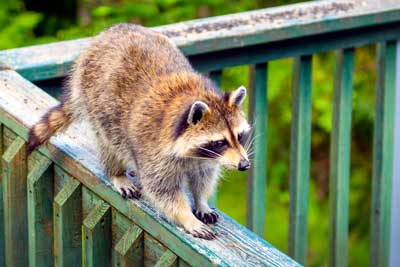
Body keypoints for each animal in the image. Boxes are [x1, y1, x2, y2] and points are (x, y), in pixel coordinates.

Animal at [28, 23, 250, 241]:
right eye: (220, 142)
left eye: (239, 136)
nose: (244, 165)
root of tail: (109, 32)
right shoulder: (153, 149)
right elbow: (163, 191)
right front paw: (187, 217)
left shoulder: (205, 159)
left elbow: (203, 177)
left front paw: (201, 201)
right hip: (95, 100)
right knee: (109, 144)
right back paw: (116, 173)